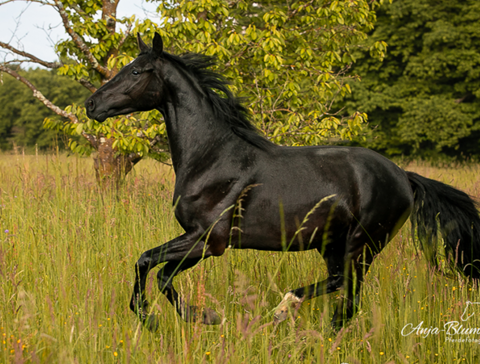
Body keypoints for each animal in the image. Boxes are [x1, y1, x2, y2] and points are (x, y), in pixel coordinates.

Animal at [85, 34, 480, 330]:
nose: (91, 104)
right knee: (337, 285)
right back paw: (283, 310)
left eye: (136, 71)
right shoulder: (200, 242)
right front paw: (196, 317)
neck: (212, 156)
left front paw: (175, 318)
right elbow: (159, 271)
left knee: (349, 299)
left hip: (362, 245)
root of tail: (403, 176)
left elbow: (148, 264)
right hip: (331, 243)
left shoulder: (209, 240)